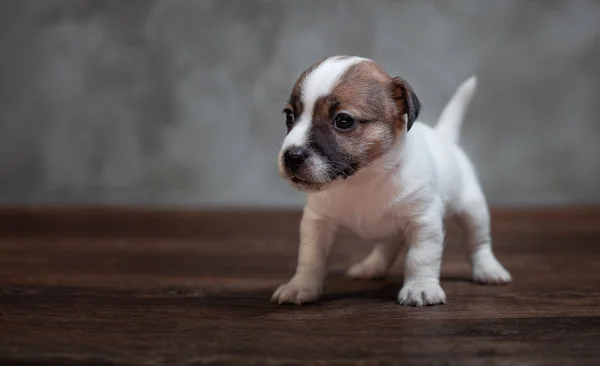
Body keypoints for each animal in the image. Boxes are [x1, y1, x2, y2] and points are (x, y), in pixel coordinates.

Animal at [272, 55, 510, 306]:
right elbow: (311, 258)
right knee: (388, 245)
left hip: (473, 210)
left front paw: (420, 288)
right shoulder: (318, 221)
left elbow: (420, 258)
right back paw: (372, 266)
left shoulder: (423, 221)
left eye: (343, 121)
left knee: (478, 242)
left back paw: (488, 269)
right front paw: (301, 286)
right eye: (289, 116)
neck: (364, 179)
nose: (292, 156)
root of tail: (444, 137)